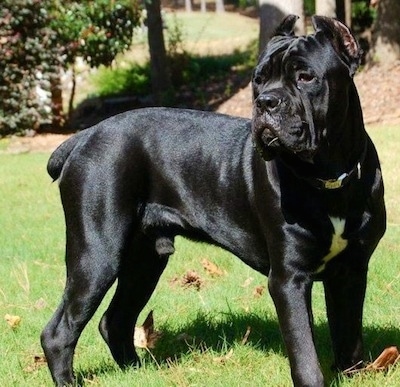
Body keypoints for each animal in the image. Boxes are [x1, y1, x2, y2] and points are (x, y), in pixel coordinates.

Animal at [40, 15, 384, 387]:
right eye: (258, 80)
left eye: (305, 77)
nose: (266, 101)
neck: (329, 177)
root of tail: (84, 136)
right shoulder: (289, 278)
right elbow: (305, 354)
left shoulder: (351, 270)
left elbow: (349, 334)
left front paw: (353, 371)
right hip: (96, 255)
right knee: (59, 331)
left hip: (144, 258)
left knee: (115, 320)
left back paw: (139, 370)